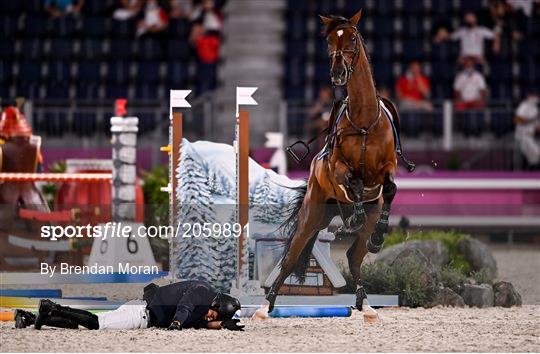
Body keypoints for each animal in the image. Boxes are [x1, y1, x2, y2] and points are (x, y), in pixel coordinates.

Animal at [268, 9, 416, 312]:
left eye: (353, 38)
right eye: (328, 41)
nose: (338, 73)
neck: (364, 121)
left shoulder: (387, 168)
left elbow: (390, 189)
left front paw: (379, 234)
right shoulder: (338, 169)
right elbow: (352, 181)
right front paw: (354, 213)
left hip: (349, 219)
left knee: (353, 256)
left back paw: (362, 298)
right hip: (311, 217)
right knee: (291, 257)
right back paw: (269, 303)